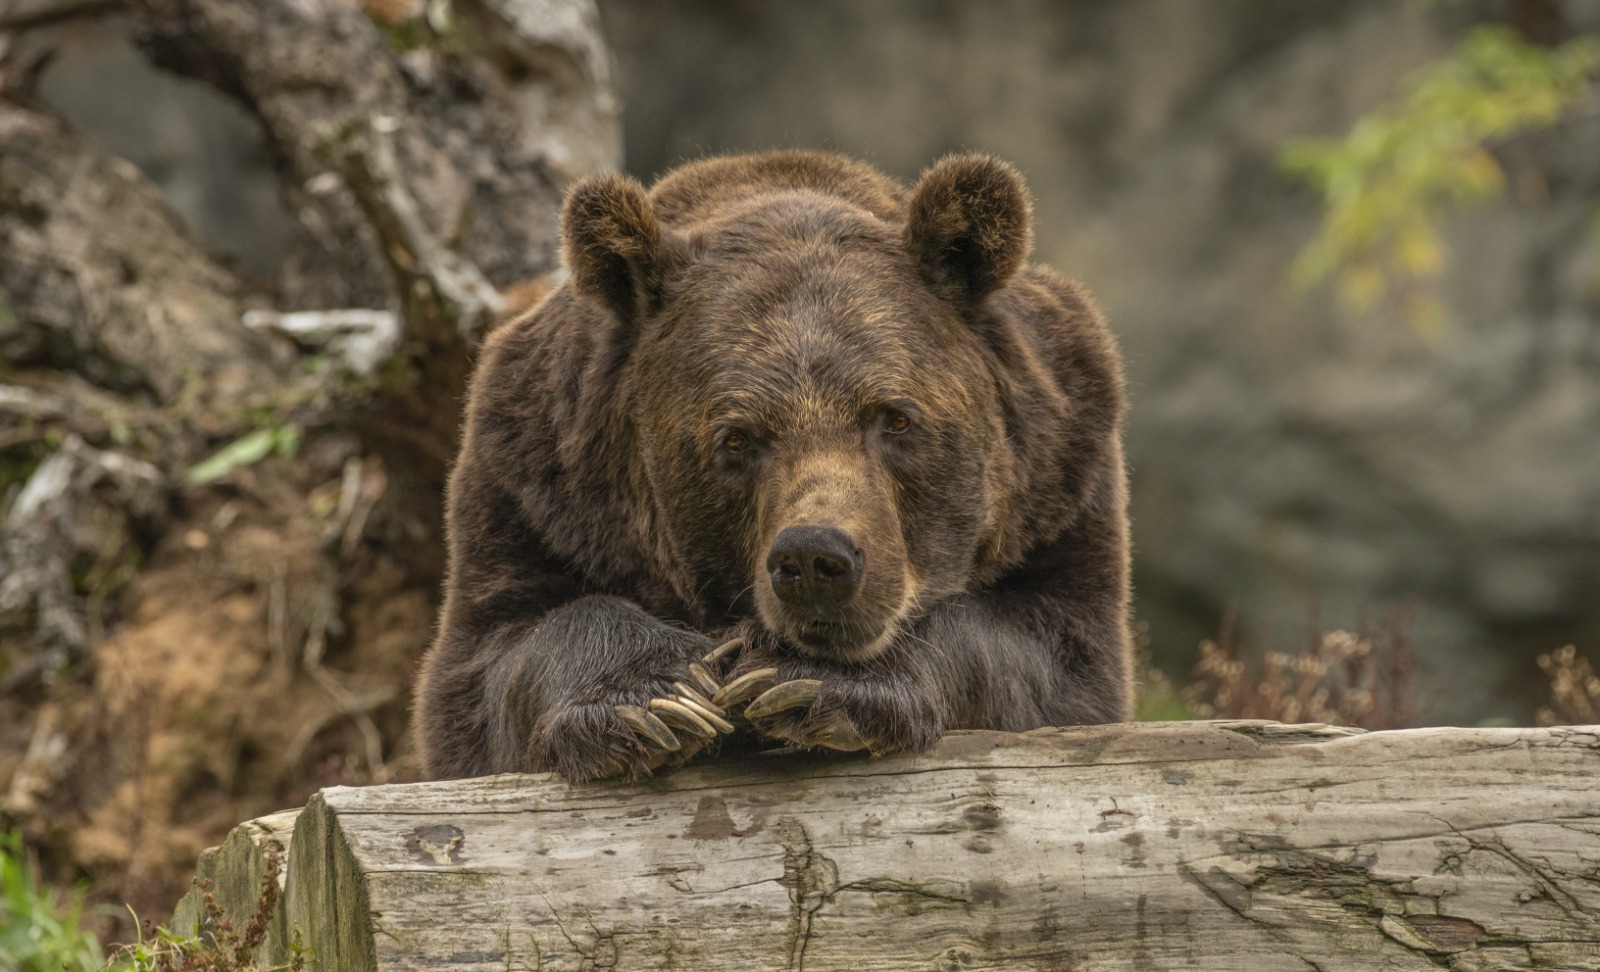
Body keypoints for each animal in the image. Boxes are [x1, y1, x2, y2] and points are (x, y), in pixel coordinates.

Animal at [415, 150, 1131, 783]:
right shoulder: (535, 490)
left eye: (895, 418)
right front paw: (659, 699)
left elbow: (1053, 658)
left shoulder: (1061, 479)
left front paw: (805, 680)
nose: (815, 559)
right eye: (737, 438)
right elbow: (494, 660)